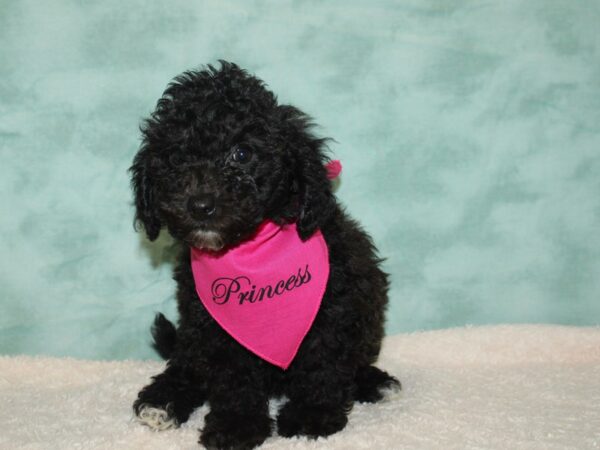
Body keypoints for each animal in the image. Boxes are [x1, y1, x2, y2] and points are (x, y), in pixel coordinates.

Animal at [132, 61, 404, 448]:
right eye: (175, 158)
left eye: (242, 154)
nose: (200, 205)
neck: (250, 248)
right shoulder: (212, 324)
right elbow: (233, 378)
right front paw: (236, 424)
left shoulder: (334, 309)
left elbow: (322, 364)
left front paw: (310, 415)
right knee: (187, 363)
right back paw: (163, 401)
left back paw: (375, 382)